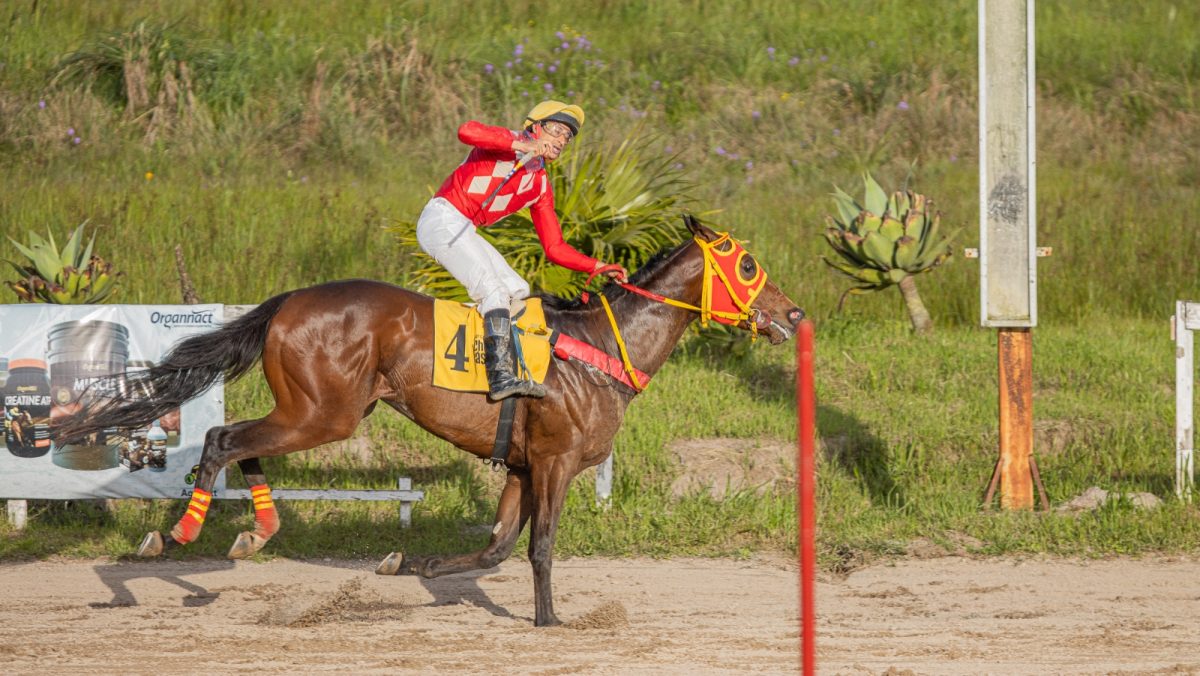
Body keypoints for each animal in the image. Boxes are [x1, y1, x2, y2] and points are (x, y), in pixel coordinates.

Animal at [58, 213, 806, 629]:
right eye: (747, 264)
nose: (794, 313)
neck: (599, 348)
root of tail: (290, 299)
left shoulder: (521, 466)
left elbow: (497, 546)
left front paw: (407, 561)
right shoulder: (557, 462)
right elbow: (539, 547)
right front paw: (550, 618)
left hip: (312, 410)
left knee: (237, 442)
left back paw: (253, 532)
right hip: (325, 413)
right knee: (222, 437)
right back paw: (178, 535)